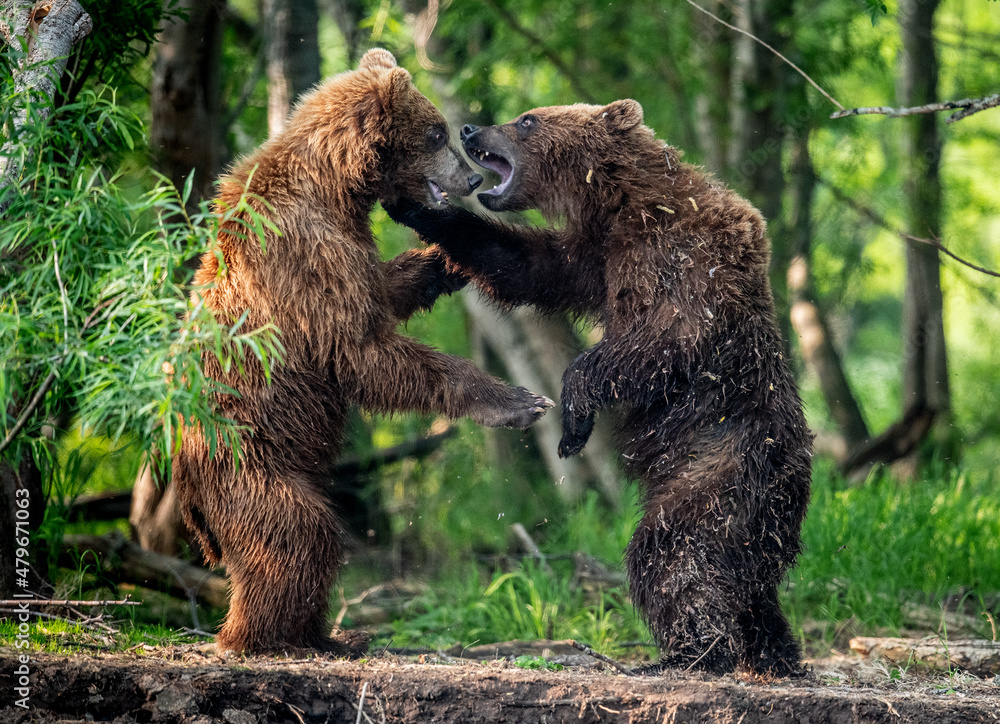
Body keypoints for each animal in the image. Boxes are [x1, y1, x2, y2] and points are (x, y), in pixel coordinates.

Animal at [172, 49, 553, 656]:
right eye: (436, 131)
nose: (471, 177)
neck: (336, 189)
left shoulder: (348, 247)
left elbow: (382, 293)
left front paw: (447, 256)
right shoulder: (306, 257)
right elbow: (359, 350)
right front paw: (519, 402)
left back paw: (325, 633)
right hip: (248, 455)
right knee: (294, 535)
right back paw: (264, 636)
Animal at [385, 99, 813, 676]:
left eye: (527, 120)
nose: (471, 128)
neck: (622, 203)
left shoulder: (684, 260)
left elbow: (665, 339)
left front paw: (573, 420)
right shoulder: (595, 256)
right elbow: (528, 265)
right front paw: (417, 208)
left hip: (719, 466)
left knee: (675, 551)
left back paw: (691, 653)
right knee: (751, 588)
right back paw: (775, 652)